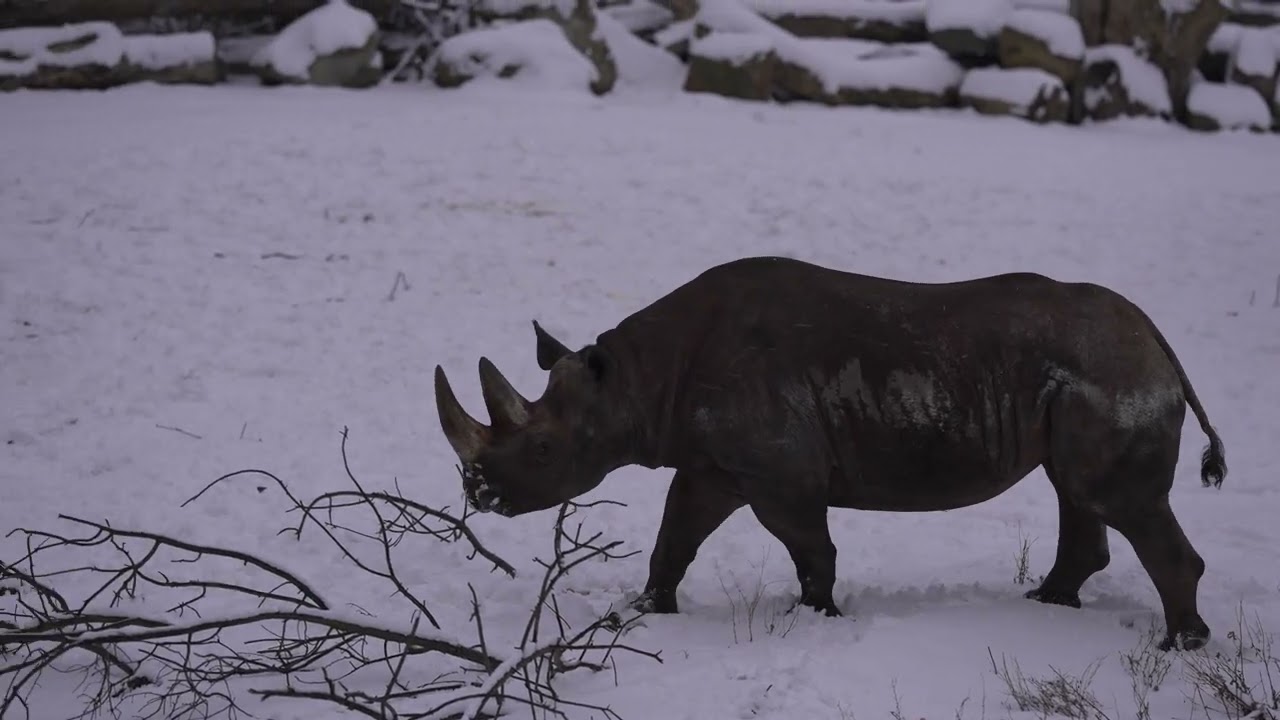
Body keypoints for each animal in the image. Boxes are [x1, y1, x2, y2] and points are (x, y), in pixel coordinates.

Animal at [433, 256, 1226, 651]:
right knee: (1077, 490)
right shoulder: (712, 464)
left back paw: (1178, 648)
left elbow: (810, 548)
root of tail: (1157, 341)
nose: (478, 491)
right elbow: (675, 536)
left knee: (1113, 498)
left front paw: (817, 618)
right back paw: (1050, 604)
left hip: (1112, 376)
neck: (634, 381)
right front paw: (647, 609)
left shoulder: (778, 472)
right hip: (1091, 377)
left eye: (542, 449)